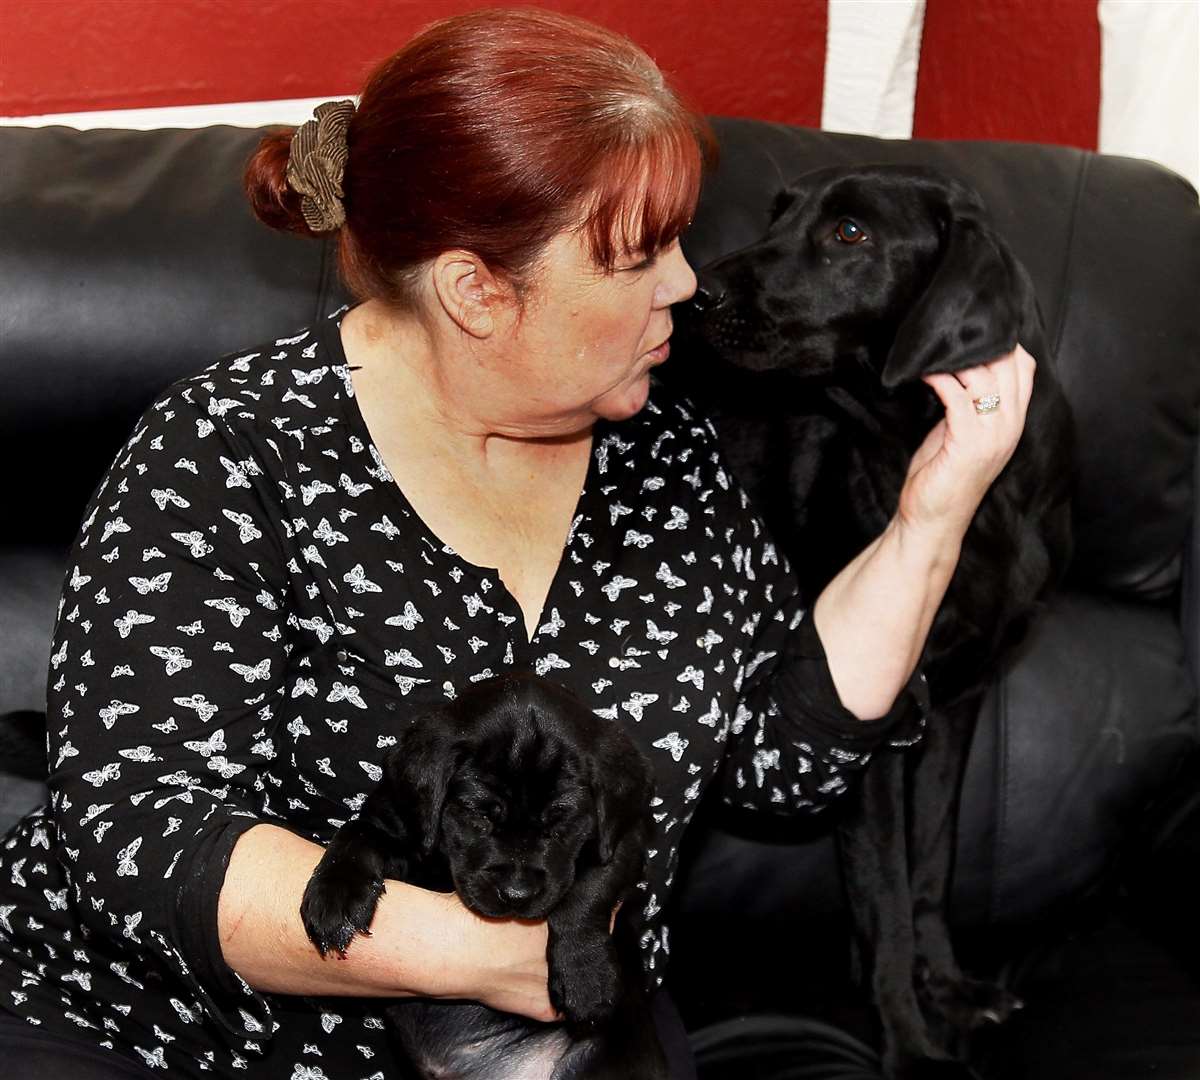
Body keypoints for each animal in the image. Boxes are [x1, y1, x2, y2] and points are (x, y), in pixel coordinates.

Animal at [295, 672, 662, 1075]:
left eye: (560, 819)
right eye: (479, 813)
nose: (516, 894)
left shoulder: (625, 837)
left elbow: (589, 891)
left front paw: (587, 975)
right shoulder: (396, 820)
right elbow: (356, 833)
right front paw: (336, 898)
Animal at [676, 164, 1080, 1075]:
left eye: (850, 234)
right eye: (777, 214)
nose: (696, 292)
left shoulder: (955, 708)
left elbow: (930, 865)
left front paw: (949, 991)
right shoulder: (872, 717)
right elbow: (885, 894)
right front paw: (911, 1044)